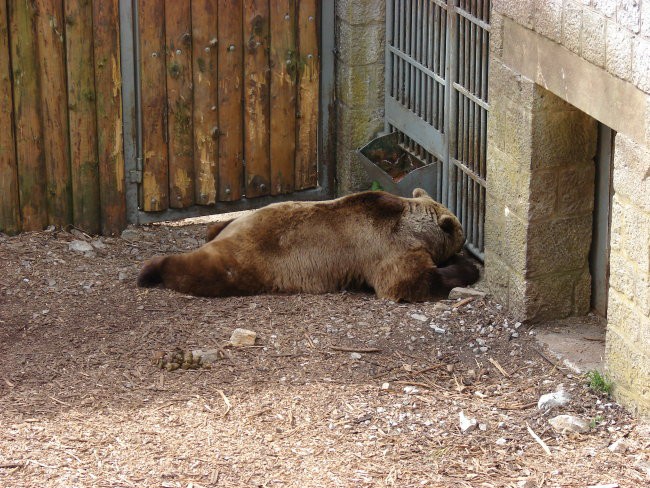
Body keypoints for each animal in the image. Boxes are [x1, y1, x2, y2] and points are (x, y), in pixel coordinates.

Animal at [137, 188, 478, 300]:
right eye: (461, 235)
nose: (464, 245)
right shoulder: (389, 248)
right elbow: (410, 282)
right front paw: (465, 267)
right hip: (251, 258)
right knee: (203, 269)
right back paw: (150, 270)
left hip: (238, 224)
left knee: (214, 229)